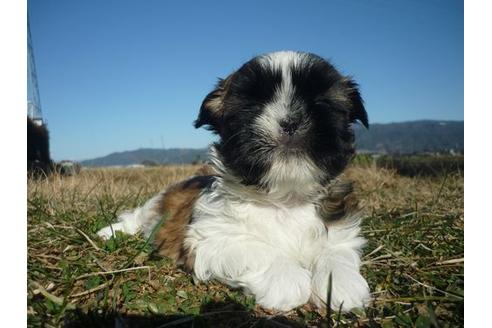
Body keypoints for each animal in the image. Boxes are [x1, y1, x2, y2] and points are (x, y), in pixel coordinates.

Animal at [98, 50, 370, 310]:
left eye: (320, 102)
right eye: (254, 104)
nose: (290, 121)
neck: (284, 200)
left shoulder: (341, 230)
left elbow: (335, 250)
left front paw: (341, 283)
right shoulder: (210, 239)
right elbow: (259, 250)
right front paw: (287, 279)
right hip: (157, 204)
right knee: (136, 217)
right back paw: (110, 231)